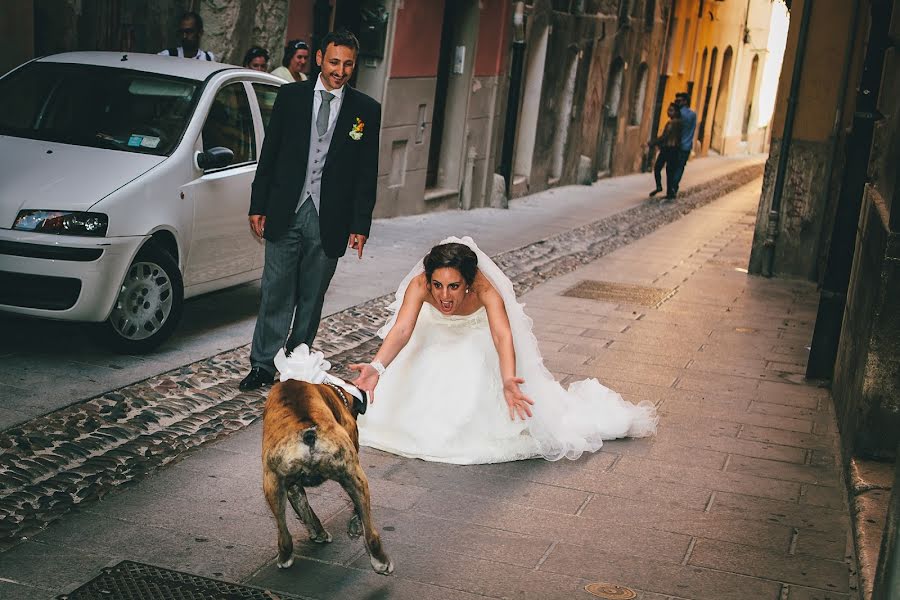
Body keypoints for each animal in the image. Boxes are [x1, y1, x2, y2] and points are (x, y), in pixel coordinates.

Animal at [256, 378, 390, 576]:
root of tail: (309, 435)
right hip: (355, 477)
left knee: (284, 534)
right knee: (370, 531)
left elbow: (306, 511)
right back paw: (380, 560)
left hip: (272, 486)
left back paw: (285, 556)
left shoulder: (291, 486)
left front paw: (318, 533)